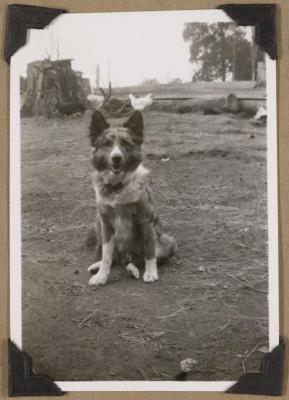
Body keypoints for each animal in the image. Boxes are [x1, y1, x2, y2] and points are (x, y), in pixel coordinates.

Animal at [86, 109, 174, 284]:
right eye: (106, 144)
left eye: (126, 143)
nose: (116, 158)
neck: (118, 187)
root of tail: (125, 256)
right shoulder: (106, 224)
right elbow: (106, 256)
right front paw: (101, 276)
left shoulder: (145, 221)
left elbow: (149, 252)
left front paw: (151, 273)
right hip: (97, 225)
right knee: (115, 258)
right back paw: (97, 266)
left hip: (167, 242)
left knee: (136, 260)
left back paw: (133, 270)